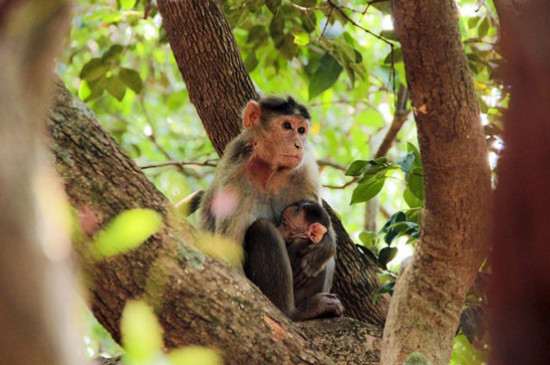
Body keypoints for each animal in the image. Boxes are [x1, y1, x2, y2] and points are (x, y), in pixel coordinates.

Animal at [198, 96, 344, 318]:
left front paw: (323, 247)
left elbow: (322, 220)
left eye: (301, 130)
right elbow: (230, 262)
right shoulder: (232, 184)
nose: (298, 145)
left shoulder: (305, 171)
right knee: (262, 229)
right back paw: (294, 313)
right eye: (287, 126)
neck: (267, 173)